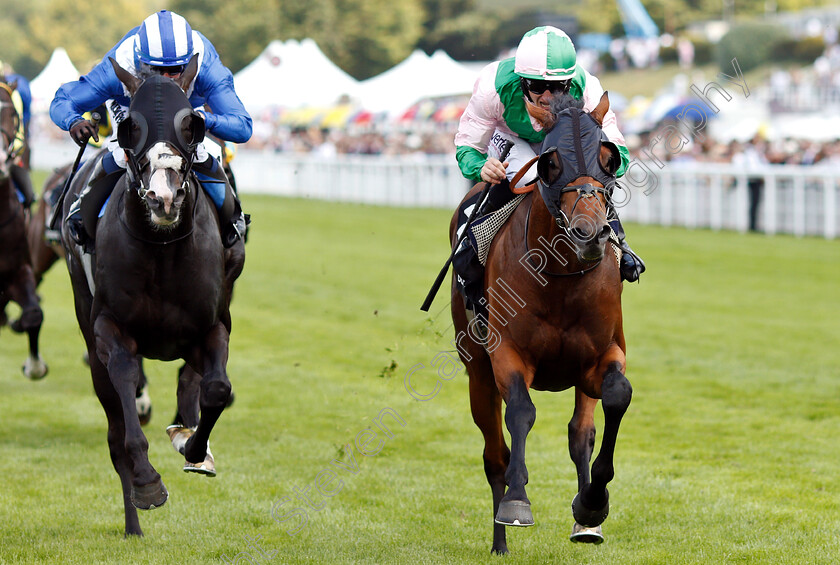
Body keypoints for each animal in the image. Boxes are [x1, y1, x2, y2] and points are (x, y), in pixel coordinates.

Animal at [57, 55, 243, 536]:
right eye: (128, 127)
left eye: (193, 123)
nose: (163, 196)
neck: (162, 248)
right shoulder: (110, 329)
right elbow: (125, 400)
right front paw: (146, 484)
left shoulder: (212, 325)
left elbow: (216, 389)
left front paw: (192, 446)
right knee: (113, 427)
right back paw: (133, 525)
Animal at [450, 91, 632, 552]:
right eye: (551, 161)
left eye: (608, 156)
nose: (589, 233)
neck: (560, 277)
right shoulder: (507, 355)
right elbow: (521, 412)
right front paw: (517, 502)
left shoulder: (601, 356)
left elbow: (616, 397)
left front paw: (592, 505)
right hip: (477, 372)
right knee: (494, 454)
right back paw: (499, 541)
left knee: (580, 433)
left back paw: (586, 523)